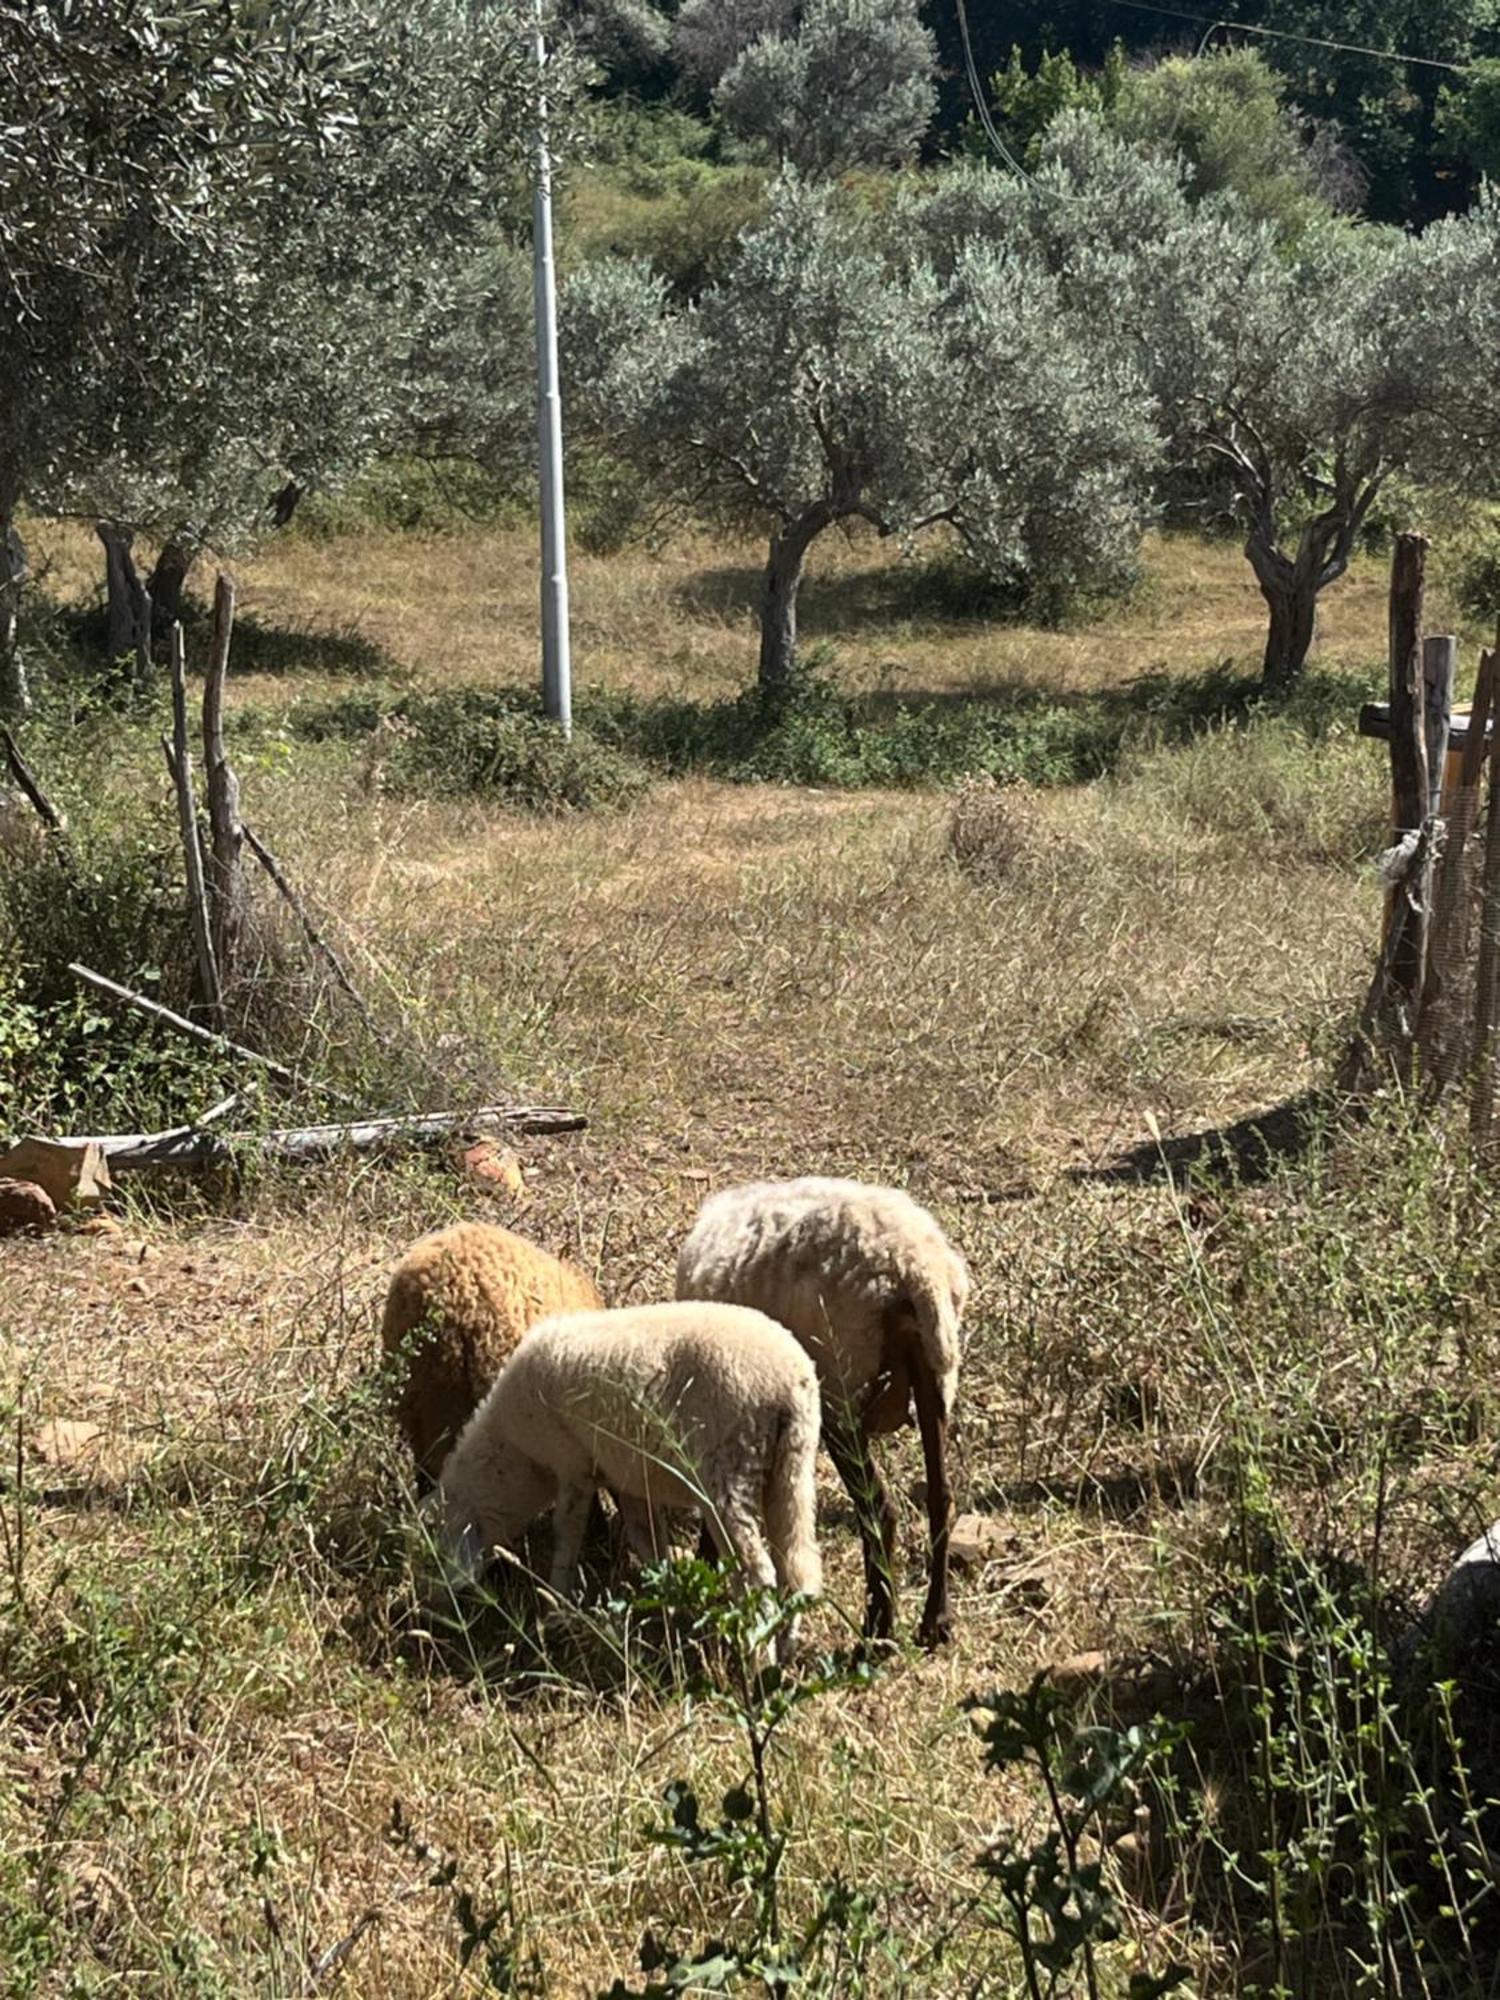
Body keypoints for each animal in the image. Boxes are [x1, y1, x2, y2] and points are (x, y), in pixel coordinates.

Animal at [440, 1296, 828, 1656]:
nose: (443, 1608)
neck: (515, 1454)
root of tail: (789, 1383)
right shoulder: (628, 1477)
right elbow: (646, 1537)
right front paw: (669, 1595)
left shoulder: (573, 1465)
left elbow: (567, 1534)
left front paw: (554, 1606)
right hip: (792, 1466)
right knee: (797, 1561)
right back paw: (786, 1643)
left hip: (727, 1470)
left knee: (757, 1572)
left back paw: (758, 1649)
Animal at [672, 1168, 976, 1640]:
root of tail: (915, 1269)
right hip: (935, 1379)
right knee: (941, 1497)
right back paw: (935, 1620)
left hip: (841, 1387)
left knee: (879, 1510)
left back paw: (877, 1629)